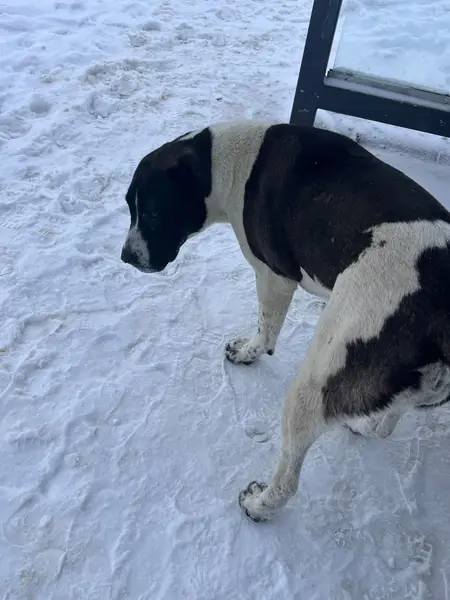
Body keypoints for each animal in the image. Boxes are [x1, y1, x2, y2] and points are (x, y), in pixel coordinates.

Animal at [120, 120, 450, 522]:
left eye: (153, 213)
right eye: (129, 207)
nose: (126, 256)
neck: (229, 161)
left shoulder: (273, 276)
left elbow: (266, 326)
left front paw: (249, 352)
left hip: (313, 387)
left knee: (290, 477)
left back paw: (260, 504)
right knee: (385, 423)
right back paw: (363, 422)